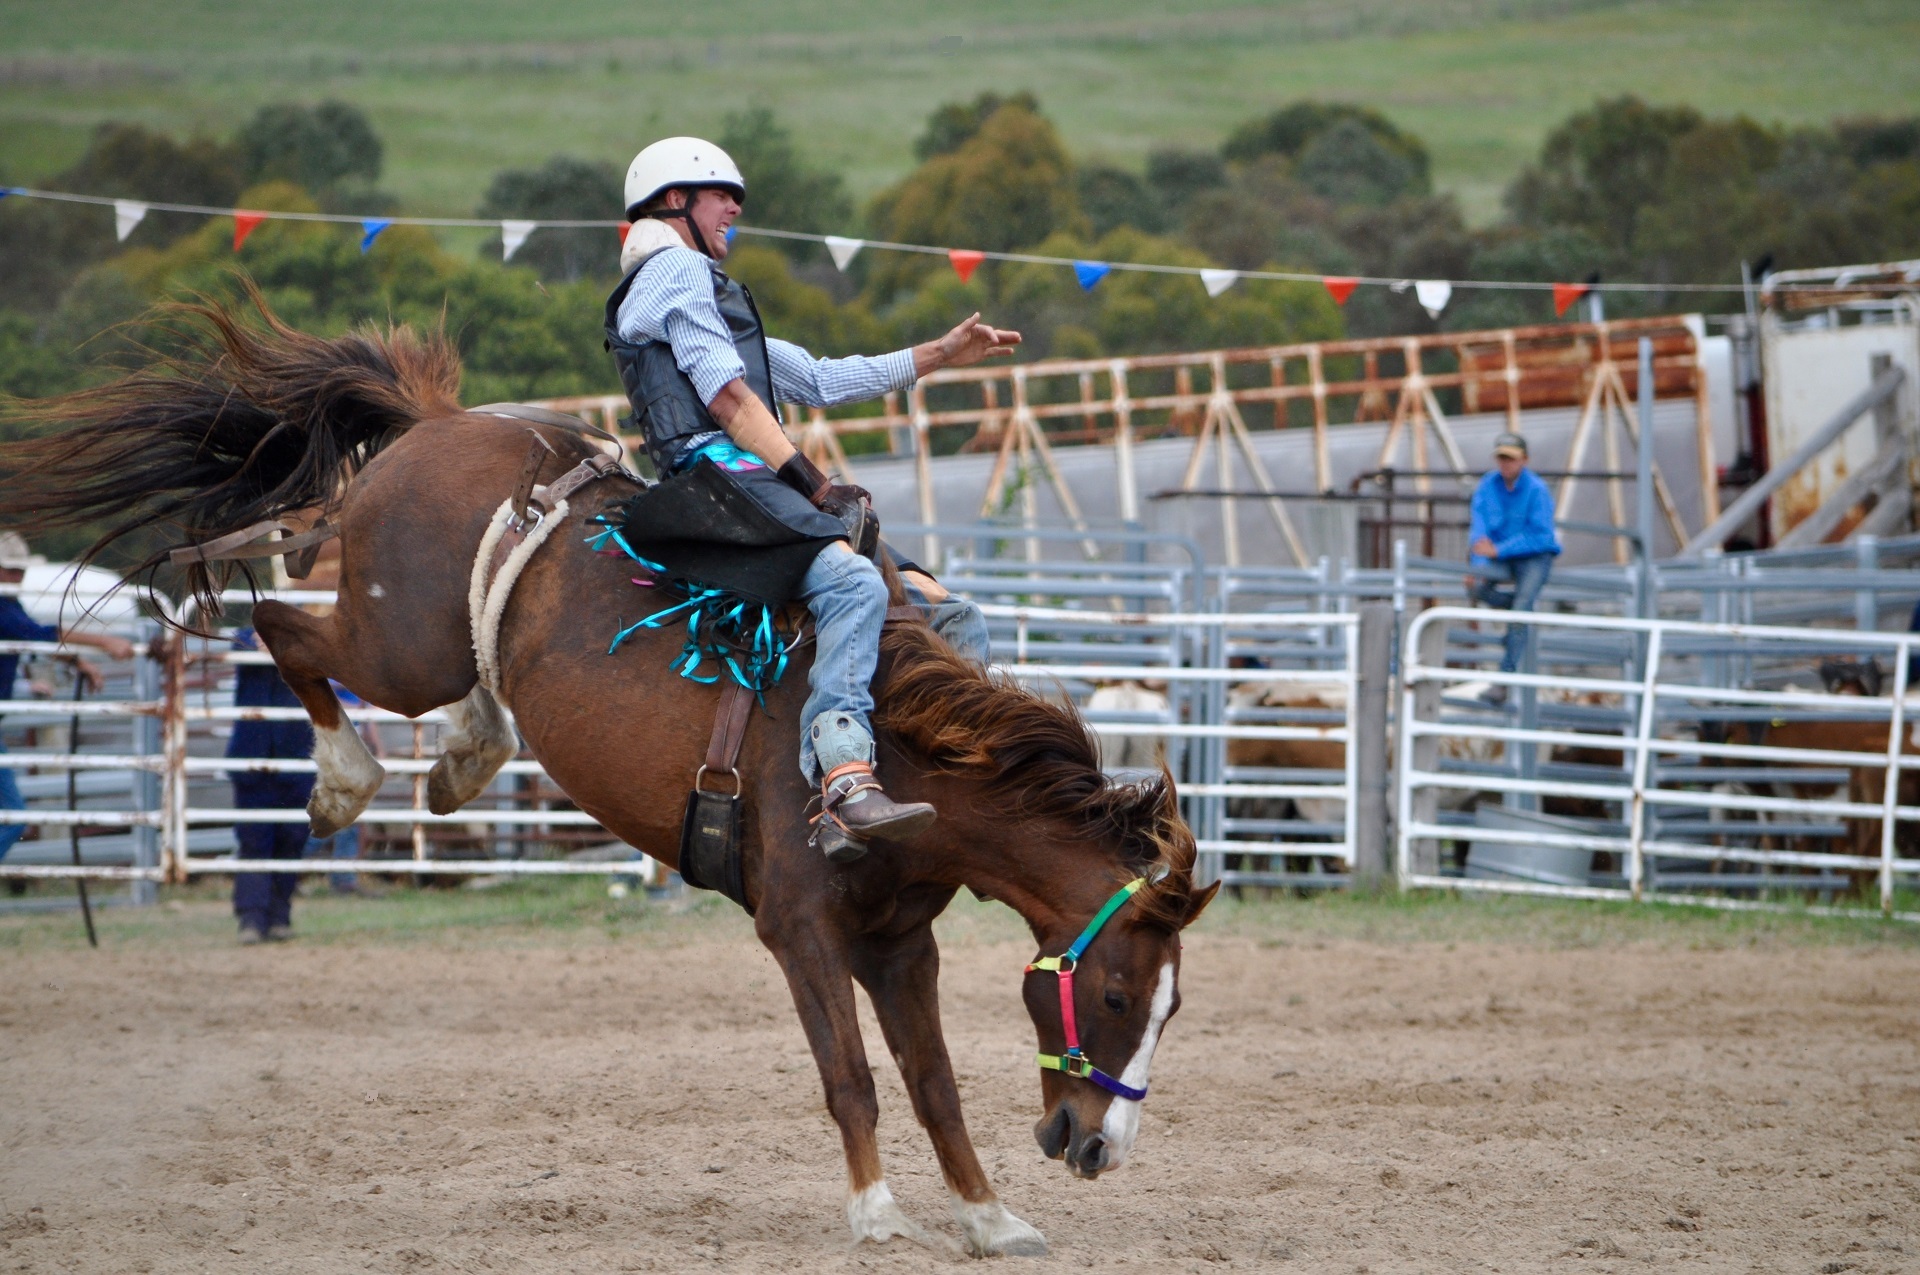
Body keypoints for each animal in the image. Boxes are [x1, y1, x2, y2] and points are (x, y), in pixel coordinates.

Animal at [3, 293, 1213, 1259]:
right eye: (1116, 995)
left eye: (1170, 1009)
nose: (1097, 1148)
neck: (911, 762)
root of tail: (434, 425)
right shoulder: (802, 929)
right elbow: (853, 1076)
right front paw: (876, 1214)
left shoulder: (900, 943)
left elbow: (935, 1083)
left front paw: (989, 1216)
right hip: (397, 644)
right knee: (282, 627)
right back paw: (352, 776)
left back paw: (465, 754)